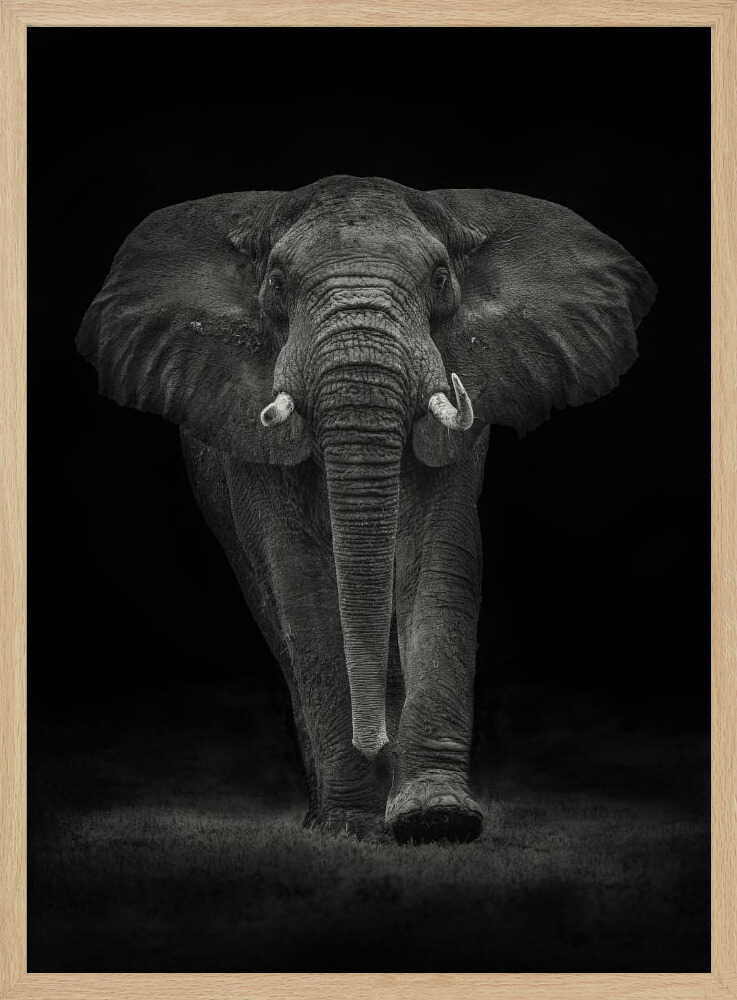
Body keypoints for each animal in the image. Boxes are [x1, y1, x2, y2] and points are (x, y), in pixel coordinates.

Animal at [77, 174, 655, 844]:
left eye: (440, 277)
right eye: (277, 282)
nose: (372, 740)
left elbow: (438, 559)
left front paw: (437, 820)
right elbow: (300, 580)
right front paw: (351, 825)